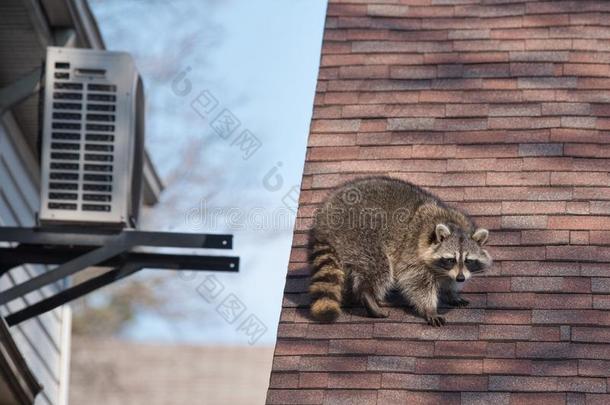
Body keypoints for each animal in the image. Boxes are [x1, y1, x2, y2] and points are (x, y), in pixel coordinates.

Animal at [308, 176, 490, 326]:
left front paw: (452, 292)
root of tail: (324, 220)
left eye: (468, 260)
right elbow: (416, 282)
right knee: (378, 267)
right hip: (360, 234)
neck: (453, 225)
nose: (460, 278)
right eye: (450, 259)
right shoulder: (413, 251)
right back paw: (368, 294)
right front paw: (430, 308)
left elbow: (448, 280)